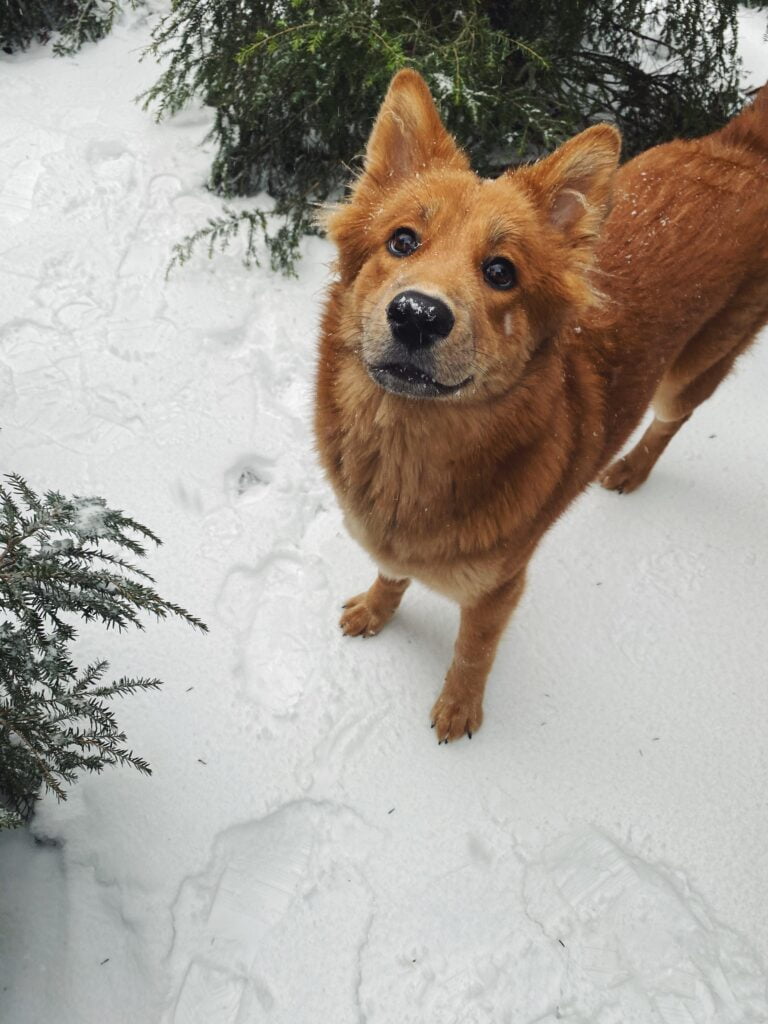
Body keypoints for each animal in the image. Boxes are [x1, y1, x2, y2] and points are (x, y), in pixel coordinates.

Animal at [313, 72, 768, 745]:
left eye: (502, 272)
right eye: (402, 240)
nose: (418, 314)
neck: (408, 450)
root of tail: (740, 150)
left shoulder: (500, 586)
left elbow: (473, 651)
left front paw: (459, 710)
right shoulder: (393, 545)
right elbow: (392, 573)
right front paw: (375, 609)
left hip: (692, 370)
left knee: (672, 419)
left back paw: (632, 469)